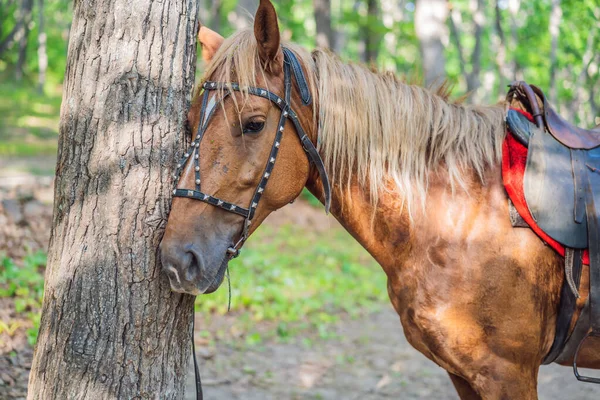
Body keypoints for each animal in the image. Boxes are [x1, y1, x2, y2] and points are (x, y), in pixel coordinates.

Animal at [159, 1, 600, 398]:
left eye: (253, 124)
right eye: (189, 123)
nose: (178, 259)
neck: (459, 215)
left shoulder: (507, 374)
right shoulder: (464, 374)